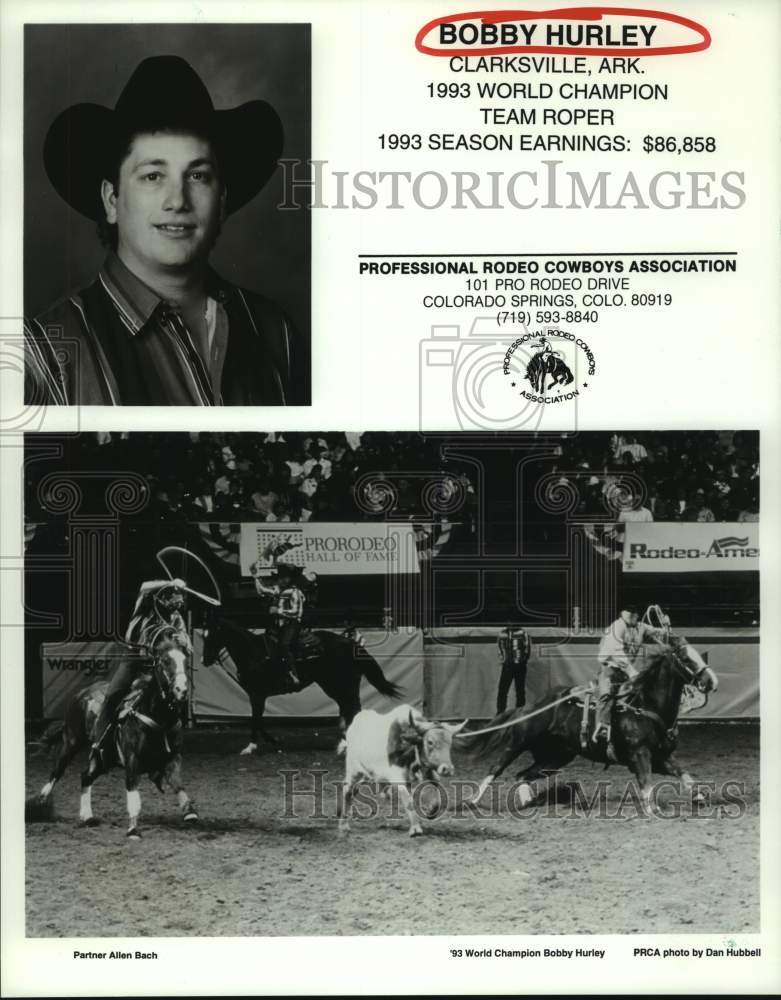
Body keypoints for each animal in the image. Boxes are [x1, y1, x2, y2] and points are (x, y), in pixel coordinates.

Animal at [32, 628, 198, 840]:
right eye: (165, 661)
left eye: (185, 660)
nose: (181, 689)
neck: (158, 718)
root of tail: (81, 693)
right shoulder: (132, 760)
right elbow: (133, 796)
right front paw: (133, 830)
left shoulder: (173, 757)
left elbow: (177, 783)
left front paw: (189, 811)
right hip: (72, 740)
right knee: (57, 771)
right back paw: (41, 802)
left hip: (105, 759)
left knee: (85, 776)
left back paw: (87, 816)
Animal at [198, 612, 406, 752]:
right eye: (203, 635)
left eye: (213, 634)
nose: (204, 660)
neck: (254, 653)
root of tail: (350, 643)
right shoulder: (256, 695)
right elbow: (258, 720)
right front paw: (274, 742)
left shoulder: (257, 694)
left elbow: (255, 720)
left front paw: (251, 747)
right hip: (336, 684)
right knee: (348, 708)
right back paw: (343, 742)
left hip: (341, 683)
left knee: (352, 708)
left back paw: (347, 743)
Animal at [464, 636, 720, 816]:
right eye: (686, 658)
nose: (711, 682)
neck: (646, 706)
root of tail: (529, 706)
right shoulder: (640, 755)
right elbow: (646, 782)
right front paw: (651, 808)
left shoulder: (661, 757)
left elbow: (685, 774)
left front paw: (699, 797)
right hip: (518, 743)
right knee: (496, 768)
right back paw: (472, 801)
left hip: (556, 757)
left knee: (522, 775)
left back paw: (528, 801)